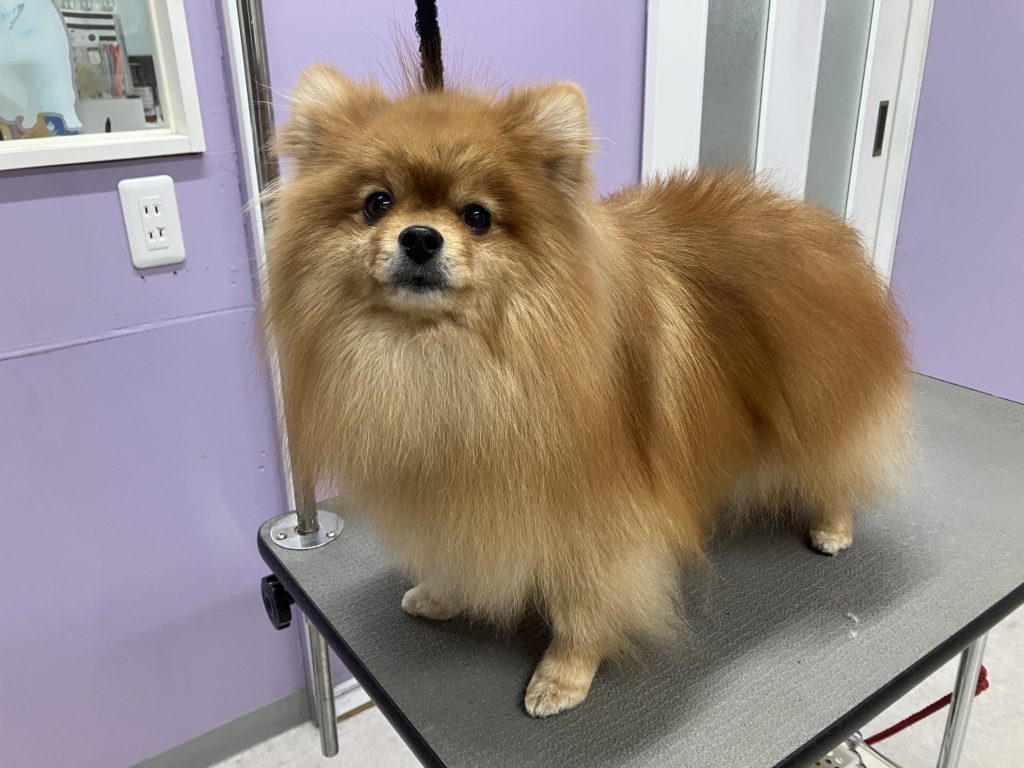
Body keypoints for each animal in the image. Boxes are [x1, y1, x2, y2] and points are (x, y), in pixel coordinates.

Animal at [262, 62, 910, 717]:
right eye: (377, 203)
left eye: (477, 216)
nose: (420, 237)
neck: (452, 360)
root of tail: (818, 223)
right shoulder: (455, 486)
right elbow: (459, 551)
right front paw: (444, 594)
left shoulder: (598, 510)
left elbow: (586, 601)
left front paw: (564, 674)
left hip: (816, 404)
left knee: (832, 465)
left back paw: (833, 527)